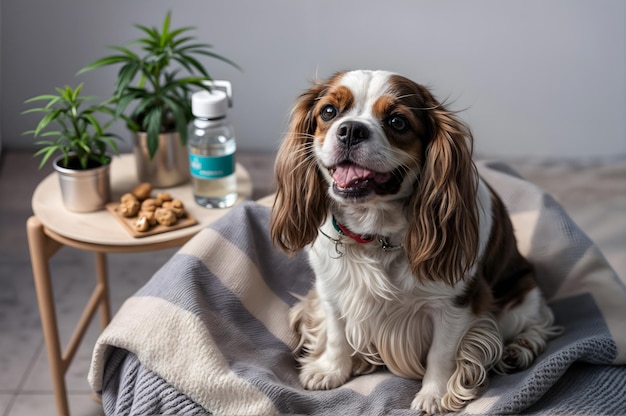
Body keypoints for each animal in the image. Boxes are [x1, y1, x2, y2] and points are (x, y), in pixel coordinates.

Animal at [270, 69, 560, 412]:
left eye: (397, 122)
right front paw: (331, 369)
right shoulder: (332, 291)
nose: (351, 130)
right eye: (328, 111)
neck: (377, 235)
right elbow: (337, 333)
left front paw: (434, 395)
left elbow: (442, 353)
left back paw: (519, 349)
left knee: (538, 322)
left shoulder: (455, 304)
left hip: (522, 297)